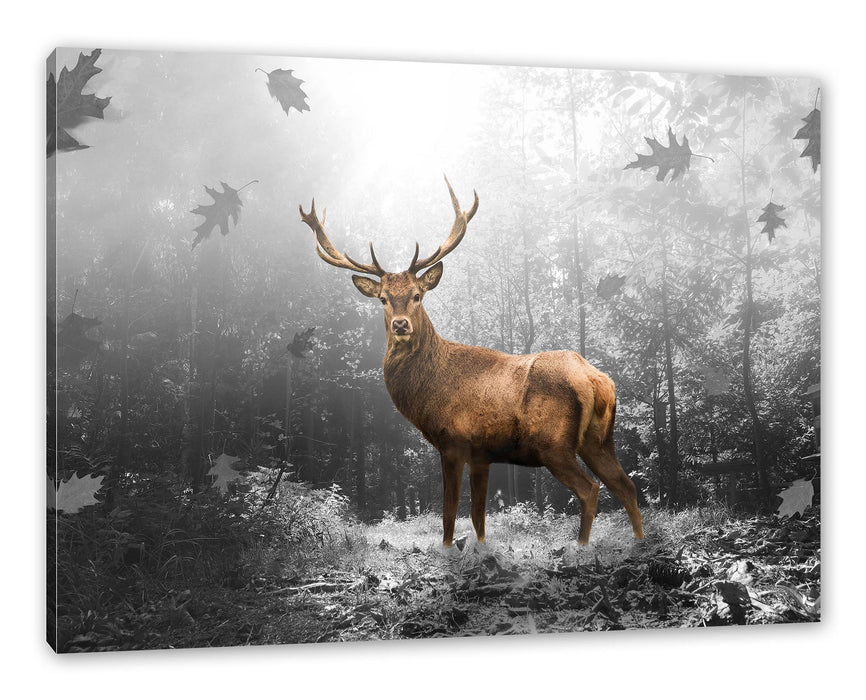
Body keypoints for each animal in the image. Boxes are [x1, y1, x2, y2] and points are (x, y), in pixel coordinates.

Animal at [299, 177, 644, 548]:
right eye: (383, 299)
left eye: (417, 295)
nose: (401, 325)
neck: (428, 390)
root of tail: (596, 380)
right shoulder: (483, 454)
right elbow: (479, 517)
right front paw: (480, 550)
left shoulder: (453, 442)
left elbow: (450, 513)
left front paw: (448, 550)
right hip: (599, 439)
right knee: (626, 485)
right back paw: (641, 542)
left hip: (554, 443)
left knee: (590, 489)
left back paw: (581, 547)